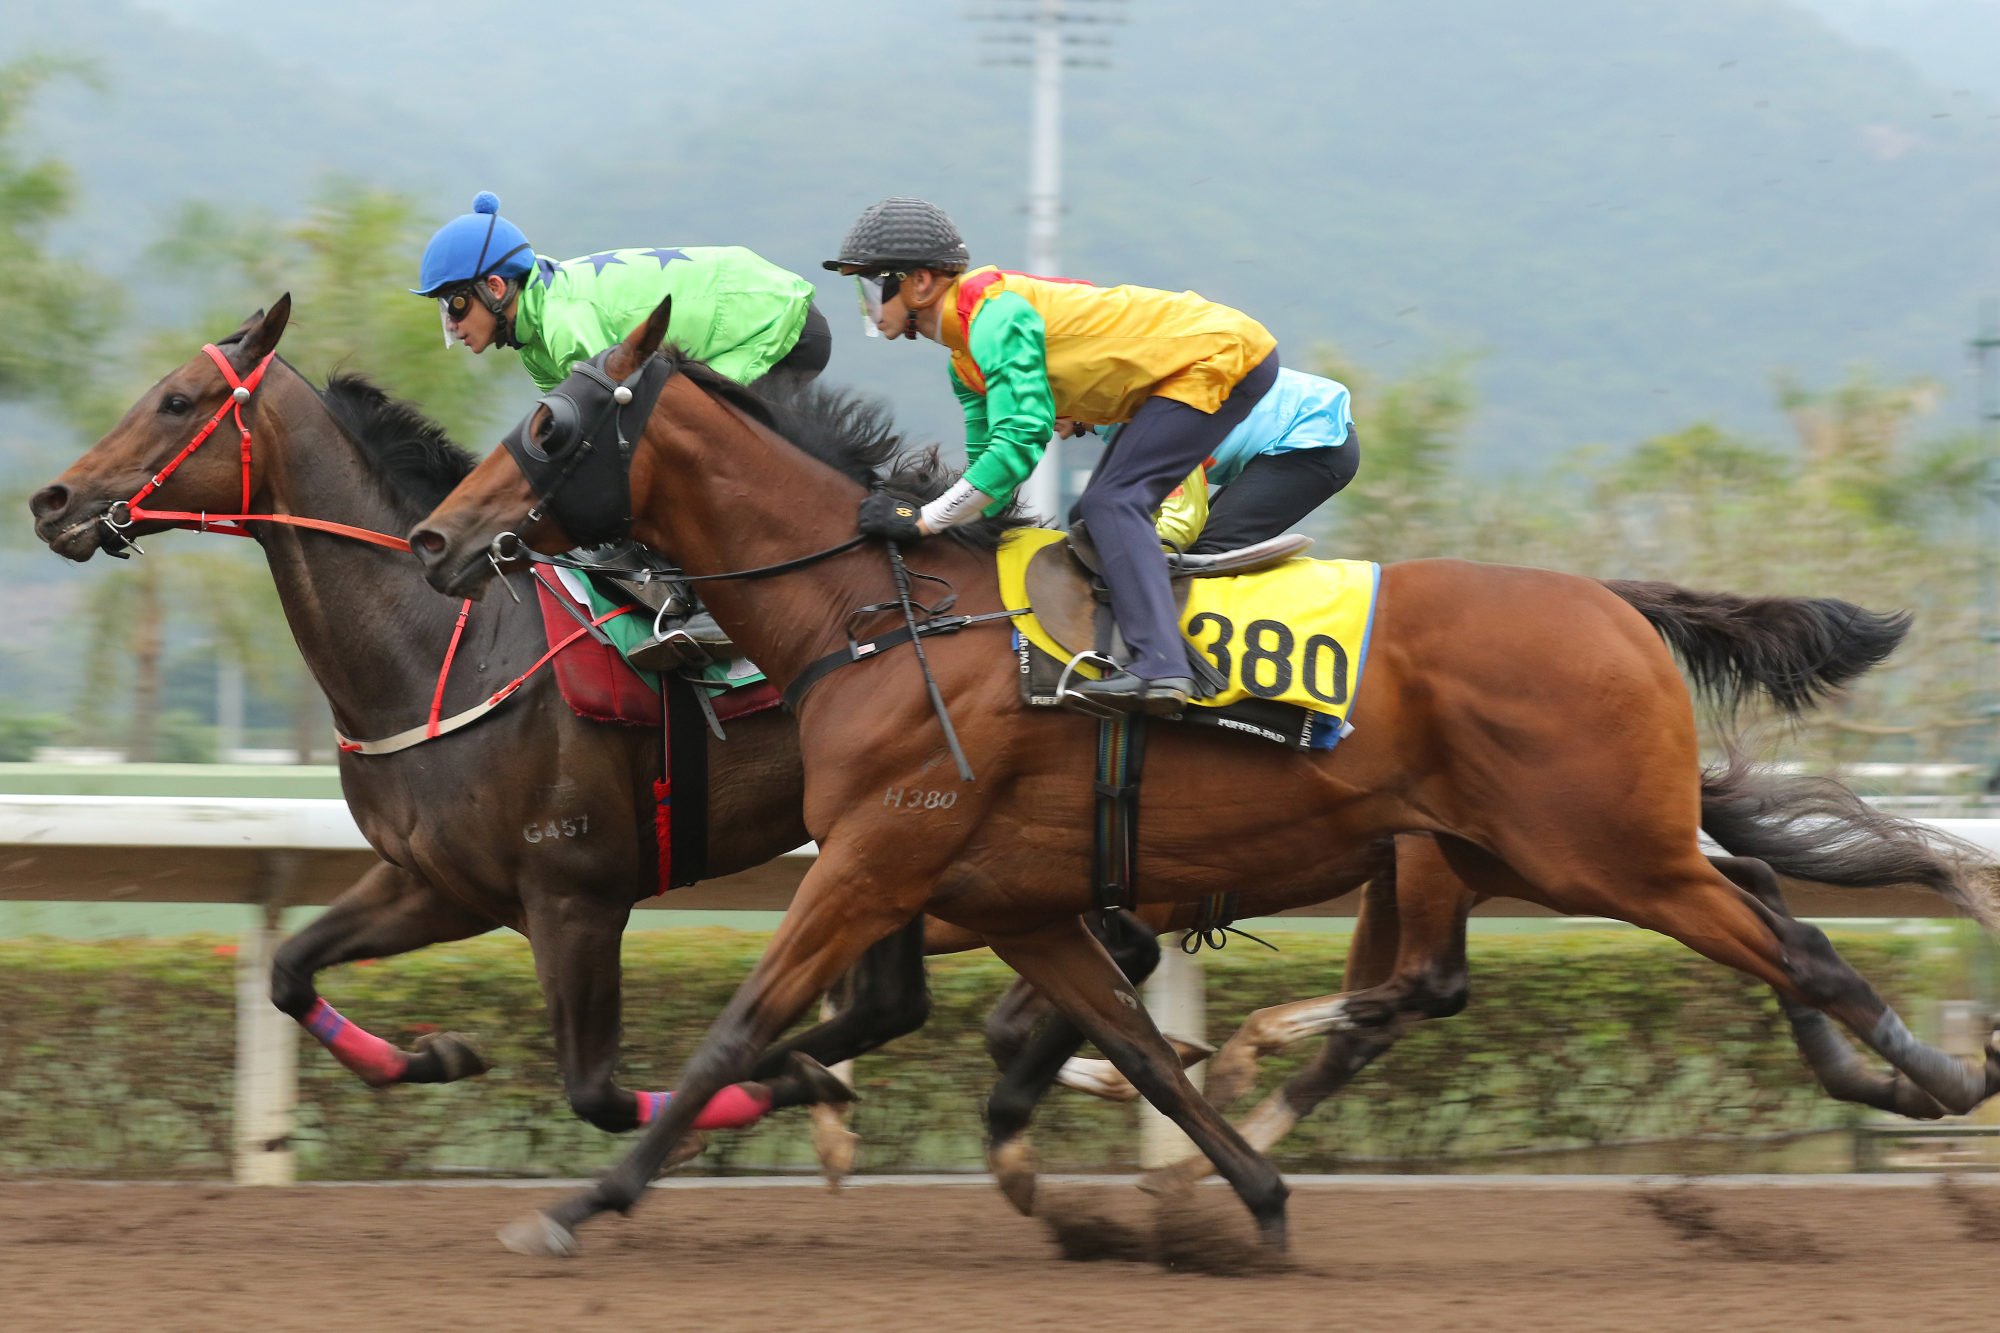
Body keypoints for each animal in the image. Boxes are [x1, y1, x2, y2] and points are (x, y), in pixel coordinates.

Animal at [410, 296, 2000, 1248]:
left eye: (550, 425)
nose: (437, 537)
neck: (883, 614)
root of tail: (1612, 606)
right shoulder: (1014, 894)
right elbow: (1120, 1040)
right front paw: (1234, 1192)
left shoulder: (877, 856)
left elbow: (741, 1026)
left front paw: (582, 1202)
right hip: (1522, 850)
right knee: (1711, 926)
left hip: (1599, 850)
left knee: (1790, 944)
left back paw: (1934, 1073)